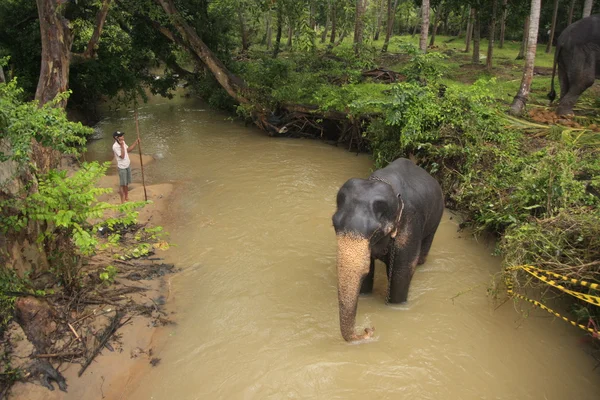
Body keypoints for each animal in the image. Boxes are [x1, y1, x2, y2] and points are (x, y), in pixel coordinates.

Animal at [330, 158, 442, 342]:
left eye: (375, 231)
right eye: (334, 225)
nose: (368, 329)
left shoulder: (410, 226)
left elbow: (401, 272)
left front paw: (395, 306)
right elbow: (368, 269)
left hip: (436, 220)